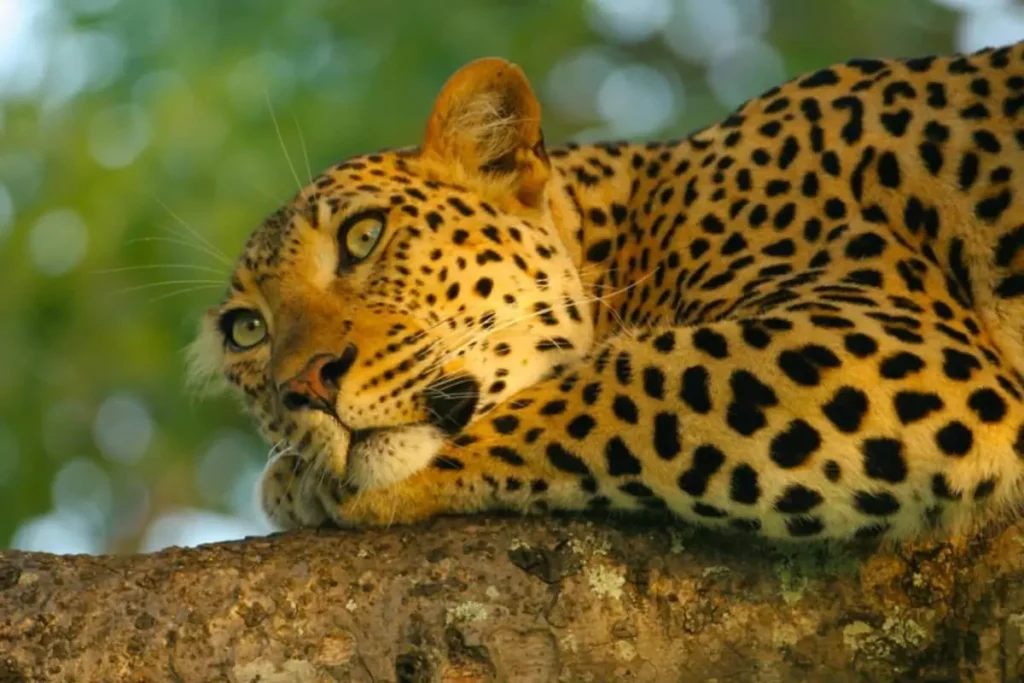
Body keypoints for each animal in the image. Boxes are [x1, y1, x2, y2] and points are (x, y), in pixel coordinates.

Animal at [190, 40, 1024, 542]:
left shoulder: (889, 338)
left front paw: (312, 482)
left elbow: (616, 382)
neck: (633, 228)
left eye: (363, 236)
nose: (306, 384)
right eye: (246, 331)